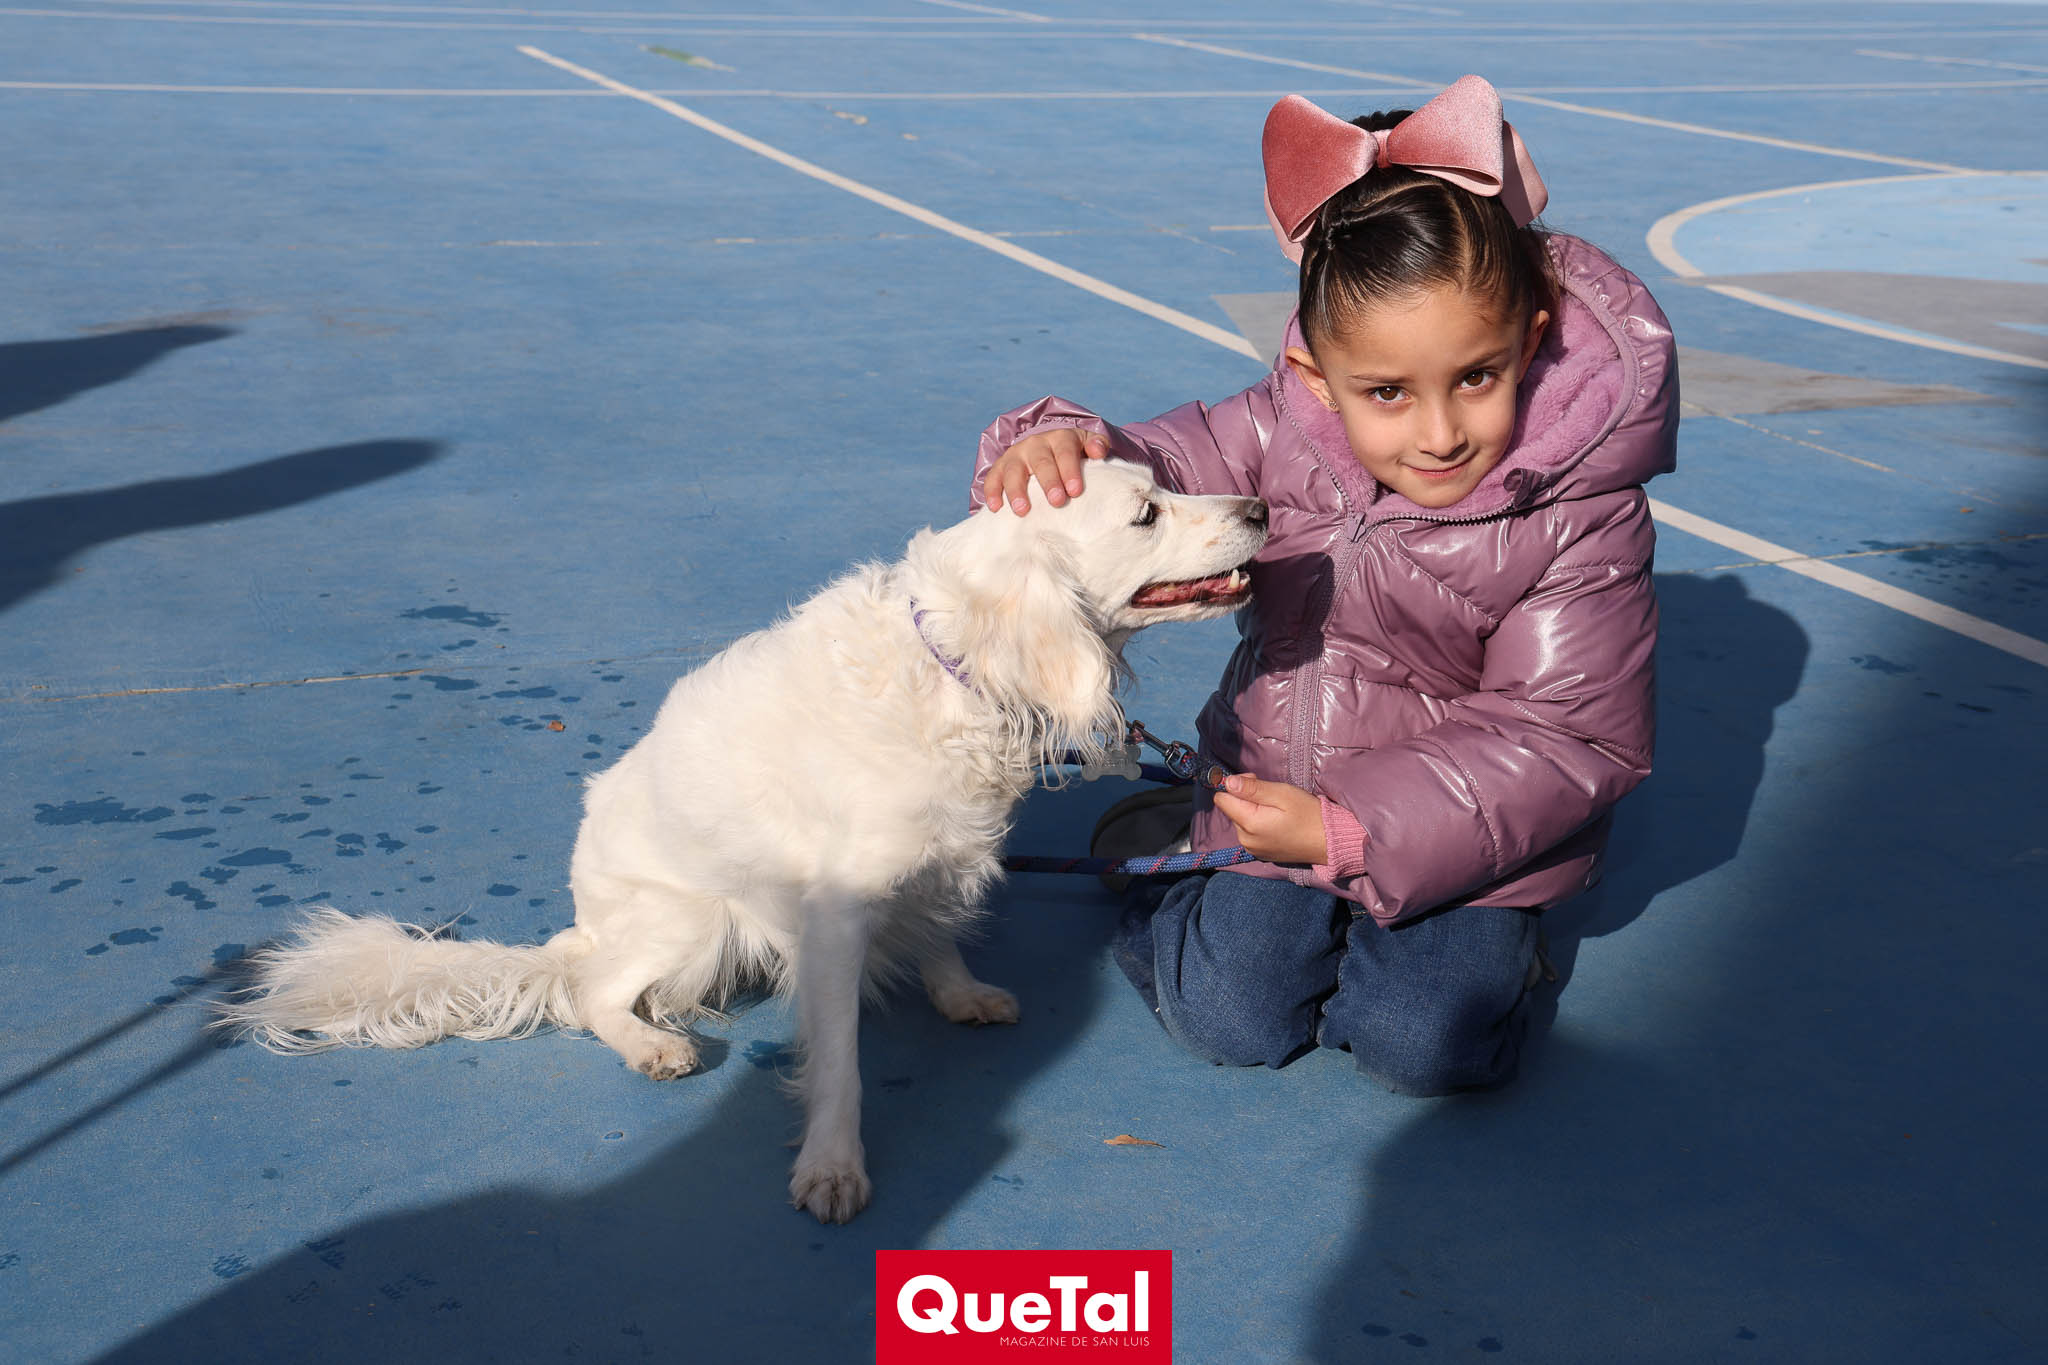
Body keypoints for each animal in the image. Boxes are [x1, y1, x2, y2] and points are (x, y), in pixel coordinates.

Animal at [220, 460, 1268, 1222]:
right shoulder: (835, 915)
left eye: (1164, 486)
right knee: (592, 992)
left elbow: (935, 932)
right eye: (1146, 513)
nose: (1260, 505)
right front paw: (832, 1166)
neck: (954, 667)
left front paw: (959, 990)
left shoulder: (935, 862)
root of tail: (580, 922)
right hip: (689, 921)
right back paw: (651, 1044)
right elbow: (839, 1060)